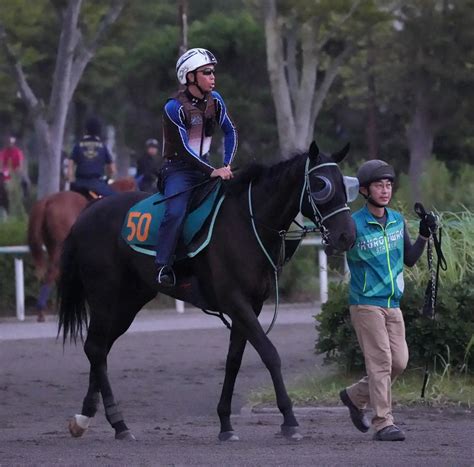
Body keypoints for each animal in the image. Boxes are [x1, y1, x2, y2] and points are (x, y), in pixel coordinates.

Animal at [58, 143, 356, 442]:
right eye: (321, 185)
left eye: (345, 185)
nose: (347, 236)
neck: (247, 224)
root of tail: (87, 212)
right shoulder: (236, 301)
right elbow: (270, 353)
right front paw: (289, 419)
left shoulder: (251, 305)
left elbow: (234, 360)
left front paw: (225, 423)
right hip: (104, 296)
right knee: (96, 348)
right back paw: (119, 423)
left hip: (128, 302)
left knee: (99, 349)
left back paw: (85, 418)